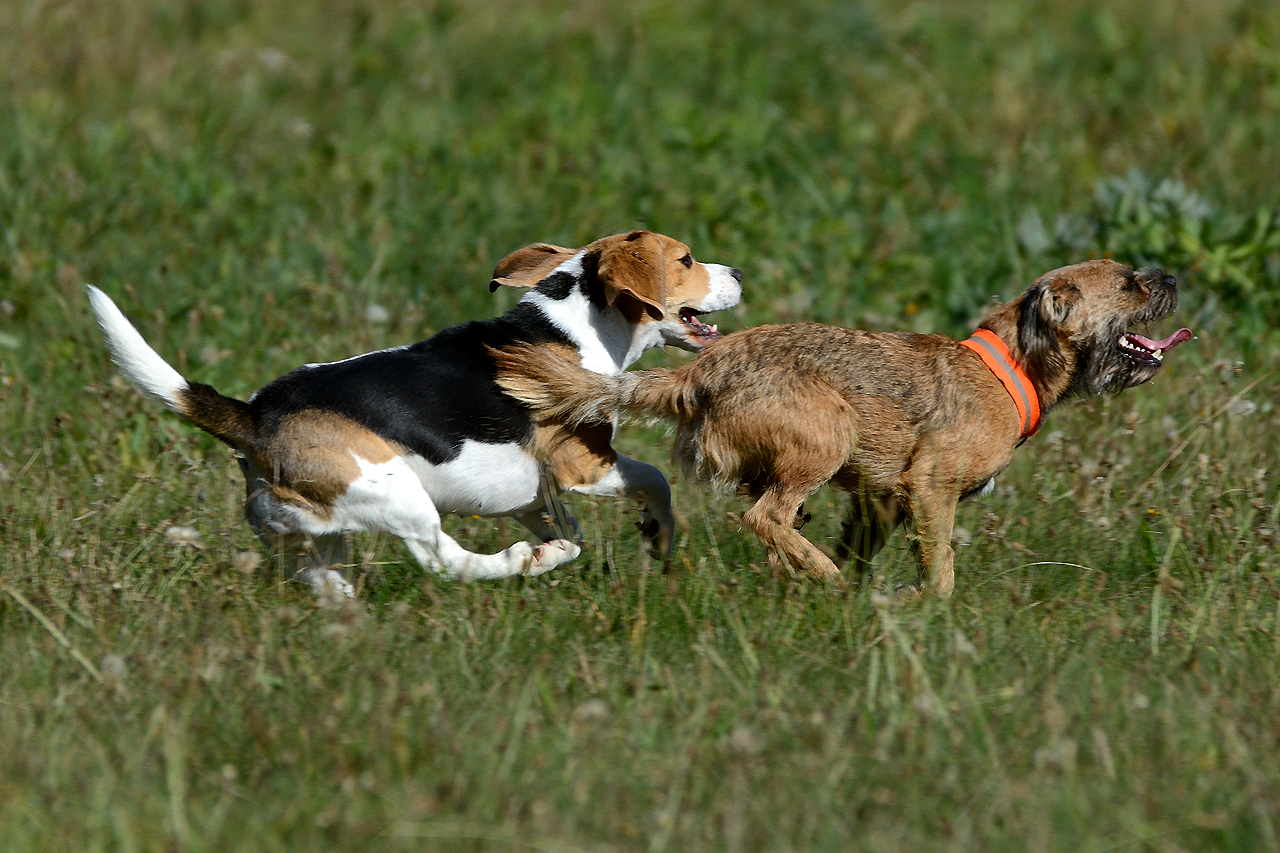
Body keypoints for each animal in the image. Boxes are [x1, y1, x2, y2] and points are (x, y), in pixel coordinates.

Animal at [494, 257, 1192, 591]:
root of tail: (699, 373)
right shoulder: (929, 489)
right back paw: (819, 574)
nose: (1172, 276)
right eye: (1129, 285)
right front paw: (925, 604)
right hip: (830, 431)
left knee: (773, 520)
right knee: (764, 517)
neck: (1010, 367)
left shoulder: (882, 501)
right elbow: (941, 566)